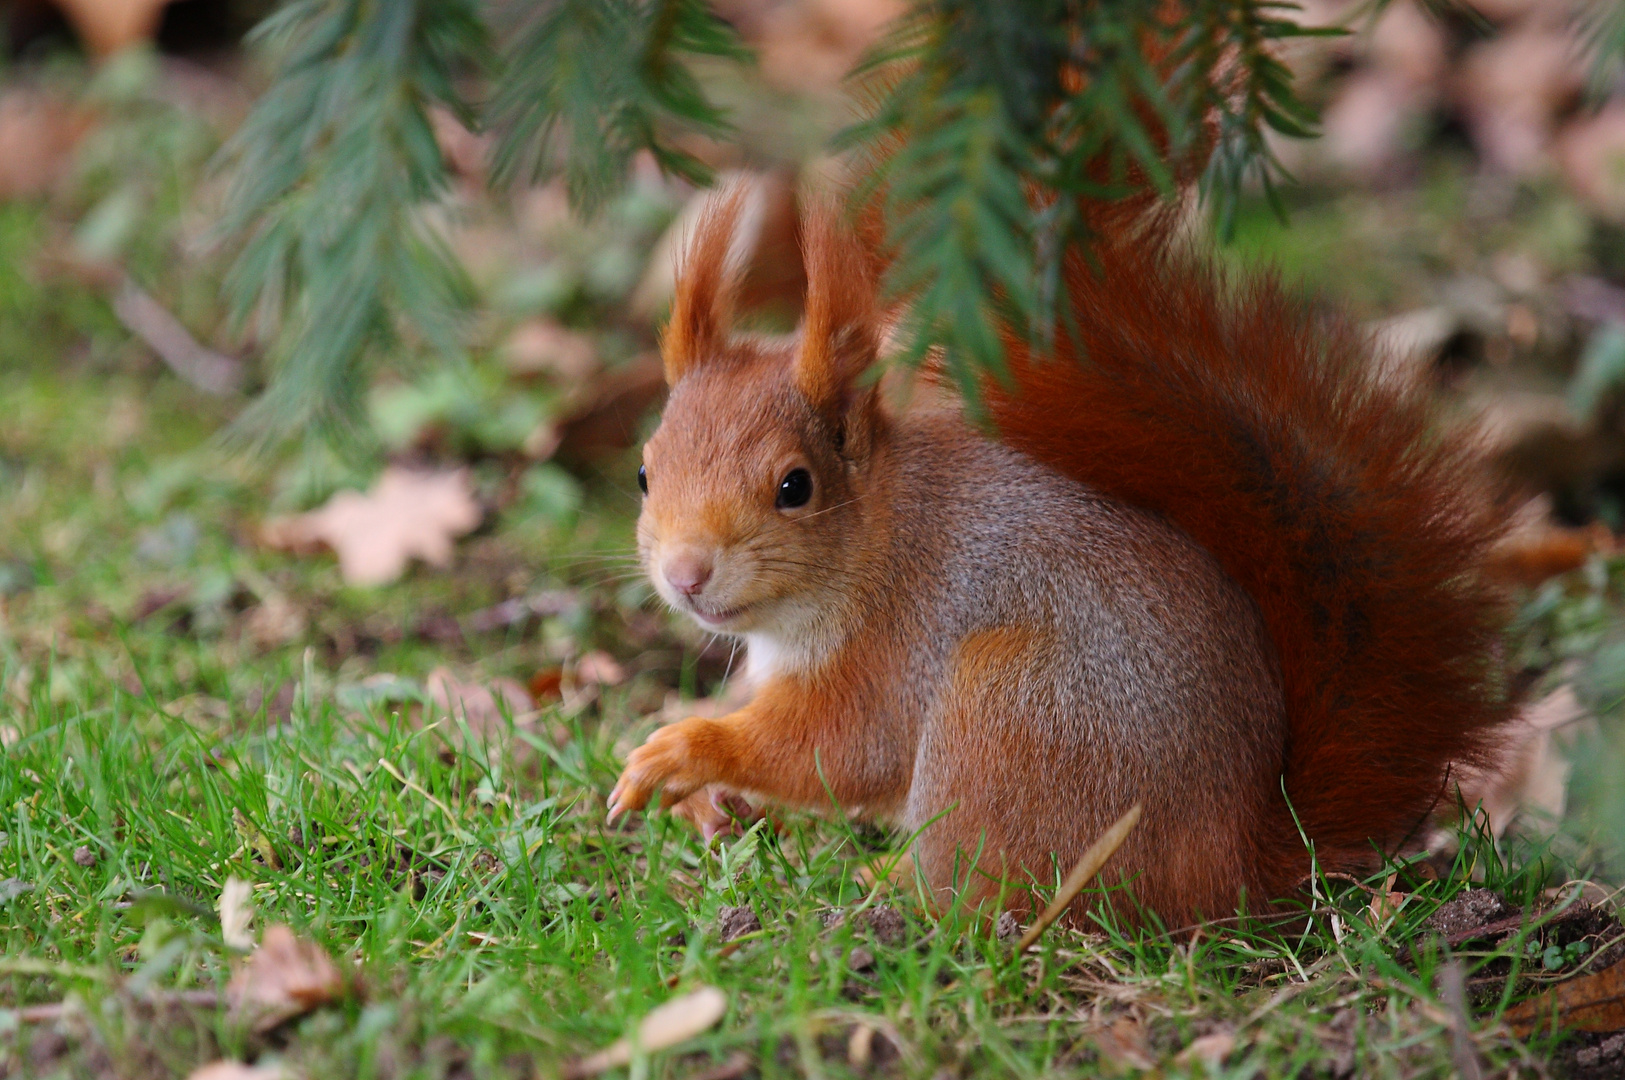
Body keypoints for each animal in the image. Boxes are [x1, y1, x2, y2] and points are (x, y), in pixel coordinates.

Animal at [611, 178, 1508, 928]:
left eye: (794, 486)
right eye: (644, 472)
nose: (686, 574)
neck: (871, 540)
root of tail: (1233, 863)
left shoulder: (894, 649)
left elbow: (837, 752)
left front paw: (682, 753)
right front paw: (707, 799)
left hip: (1009, 713)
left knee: (987, 891)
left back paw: (889, 889)